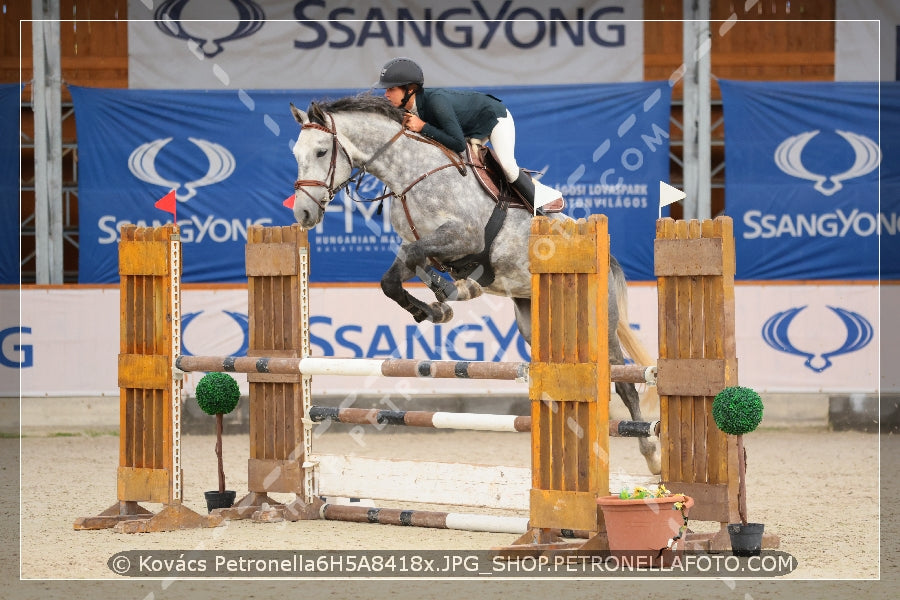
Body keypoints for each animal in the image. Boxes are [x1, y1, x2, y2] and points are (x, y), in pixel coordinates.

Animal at [290, 92, 660, 474]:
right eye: (296, 154)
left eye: (321, 152)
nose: (302, 214)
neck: (410, 174)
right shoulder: (424, 247)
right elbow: (396, 276)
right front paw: (435, 307)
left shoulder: (464, 238)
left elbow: (417, 256)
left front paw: (450, 294)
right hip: (534, 322)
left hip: (600, 326)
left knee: (624, 383)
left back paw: (651, 453)